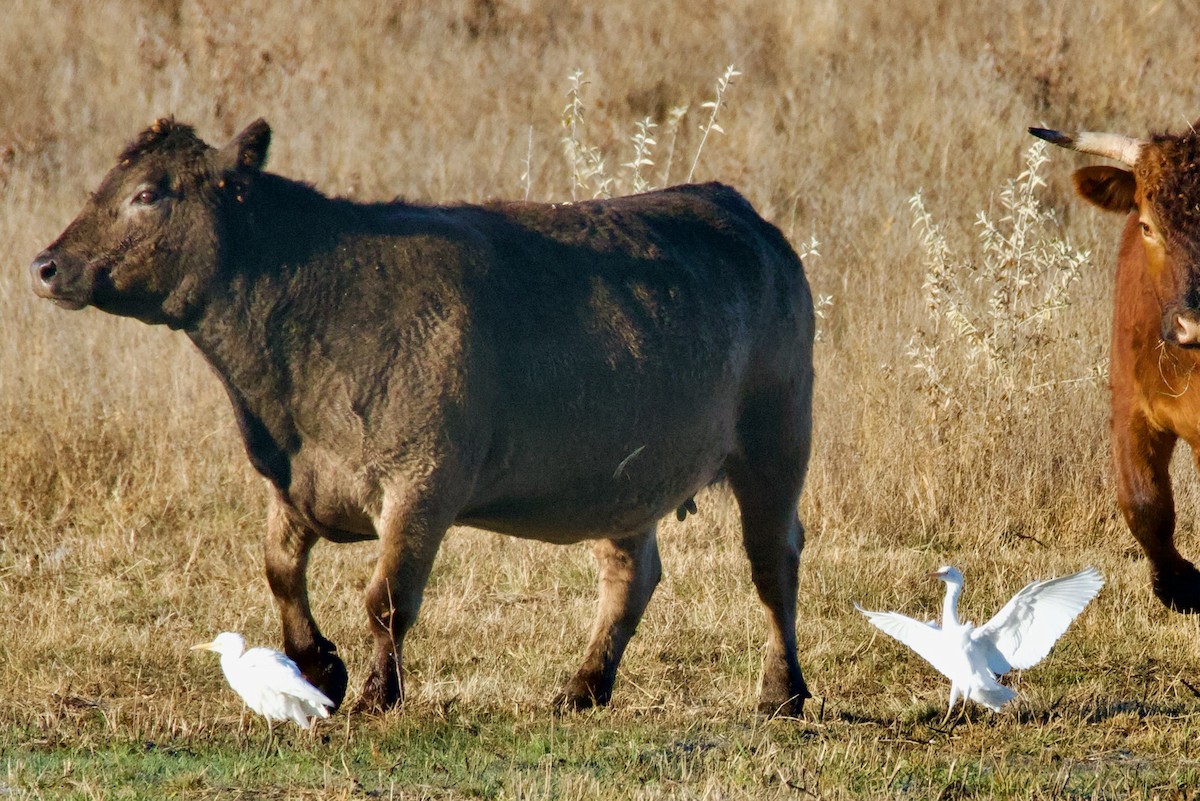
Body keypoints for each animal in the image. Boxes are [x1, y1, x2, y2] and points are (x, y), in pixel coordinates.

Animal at [30, 118, 815, 716]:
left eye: (147, 194)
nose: (45, 264)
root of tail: (737, 210)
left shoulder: (422, 484)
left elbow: (386, 598)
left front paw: (378, 693)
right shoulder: (297, 485)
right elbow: (280, 571)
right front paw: (321, 667)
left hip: (774, 444)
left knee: (771, 563)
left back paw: (783, 691)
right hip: (625, 481)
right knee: (631, 575)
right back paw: (583, 687)